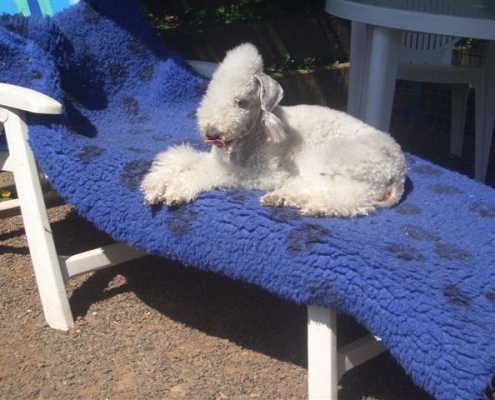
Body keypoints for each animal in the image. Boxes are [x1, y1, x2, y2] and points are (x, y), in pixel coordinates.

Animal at [140, 43, 406, 217]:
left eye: (240, 102)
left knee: (350, 194)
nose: (212, 134)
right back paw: (284, 198)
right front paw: (155, 184)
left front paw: (177, 188)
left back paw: (300, 202)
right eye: (210, 93)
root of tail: (400, 172)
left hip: (339, 159)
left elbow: (210, 172)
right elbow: (182, 157)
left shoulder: (265, 174)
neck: (253, 135)